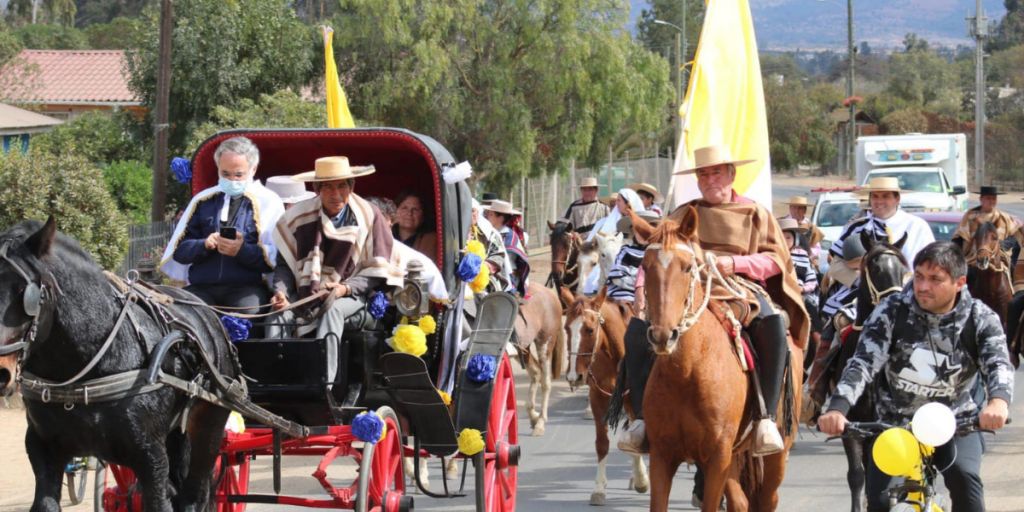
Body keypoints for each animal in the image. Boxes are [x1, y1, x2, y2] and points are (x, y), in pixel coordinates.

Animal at [1, 219, 235, 512]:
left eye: (24, 291)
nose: (1, 373)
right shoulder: (43, 449)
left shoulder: (151, 459)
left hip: (208, 430)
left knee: (194, 496)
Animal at [520, 284, 569, 436]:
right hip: (525, 347)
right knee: (536, 372)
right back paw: (533, 416)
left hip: (545, 342)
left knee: (546, 381)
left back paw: (540, 422)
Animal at [561, 286, 647, 505]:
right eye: (566, 328)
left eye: (590, 330)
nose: (574, 376)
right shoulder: (597, 399)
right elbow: (602, 444)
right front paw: (599, 488)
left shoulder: (634, 401)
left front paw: (641, 479)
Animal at [630, 205, 798, 512]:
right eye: (645, 267)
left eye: (688, 267)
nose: (663, 336)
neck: (688, 372)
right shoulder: (663, 454)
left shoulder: (717, 457)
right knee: (740, 502)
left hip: (775, 452)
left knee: (768, 498)